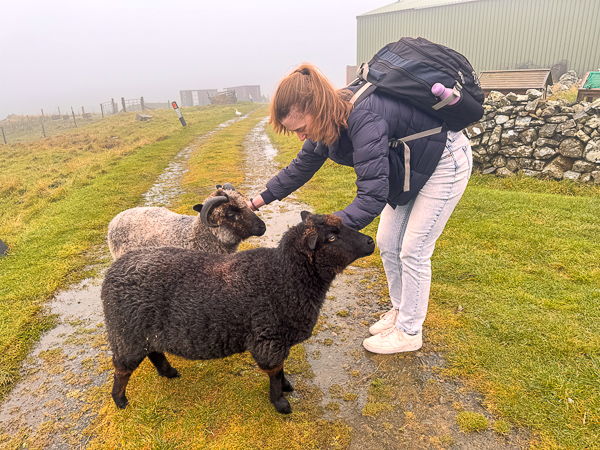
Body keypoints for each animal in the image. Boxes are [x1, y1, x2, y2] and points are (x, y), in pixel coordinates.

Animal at [102, 212, 376, 414]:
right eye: (331, 238)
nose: (371, 242)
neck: (285, 276)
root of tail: (112, 271)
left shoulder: (279, 339)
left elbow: (281, 368)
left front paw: (287, 386)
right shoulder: (269, 338)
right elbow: (274, 372)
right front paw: (280, 403)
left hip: (145, 331)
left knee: (155, 352)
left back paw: (169, 373)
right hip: (126, 333)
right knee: (122, 369)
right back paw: (121, 402)